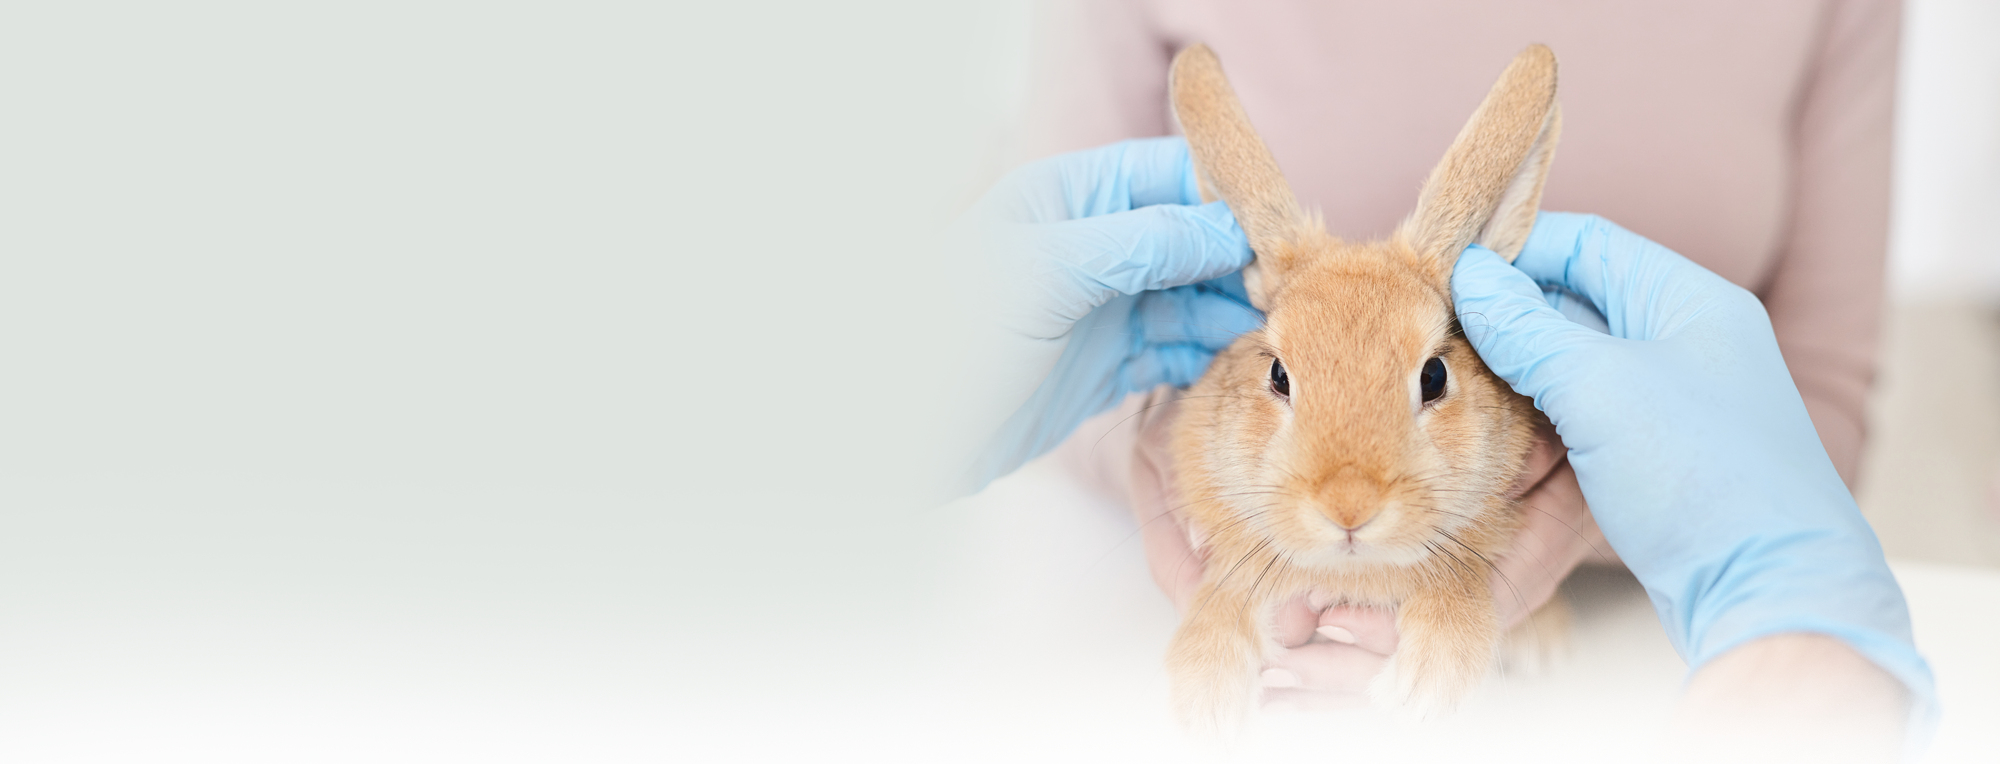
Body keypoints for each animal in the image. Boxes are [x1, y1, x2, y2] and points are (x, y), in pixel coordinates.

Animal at [1160, 44, 1576, 760]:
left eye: (1434, 375)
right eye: (1278, 375)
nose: (1348, 507)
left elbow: (1456, 571)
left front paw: (1431, 684)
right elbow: (1225, 591)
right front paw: (1206, 711)